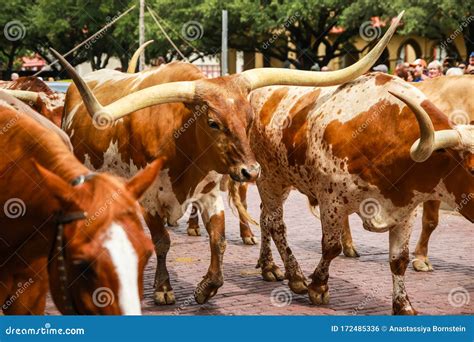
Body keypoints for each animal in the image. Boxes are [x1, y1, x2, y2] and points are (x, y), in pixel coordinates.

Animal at [49, 11, 400, 304]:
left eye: (249, 118)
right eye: (212, 122)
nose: (251, 171)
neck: (179, 143)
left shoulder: (210, 192)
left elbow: (218, 241)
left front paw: (207, 287)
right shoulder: (150, 200)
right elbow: (161, 241)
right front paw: (162, 288)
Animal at [250, 73, 472, 314]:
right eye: (471, 169)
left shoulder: (407, 209)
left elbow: (399, 259)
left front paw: (403, 304)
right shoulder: (331, 201)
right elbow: (331, 247)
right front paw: (318, 286)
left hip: (281, 183)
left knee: (264, 218)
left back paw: (268, 266)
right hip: (270, 178)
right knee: (276, 224)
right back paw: (295, 276)